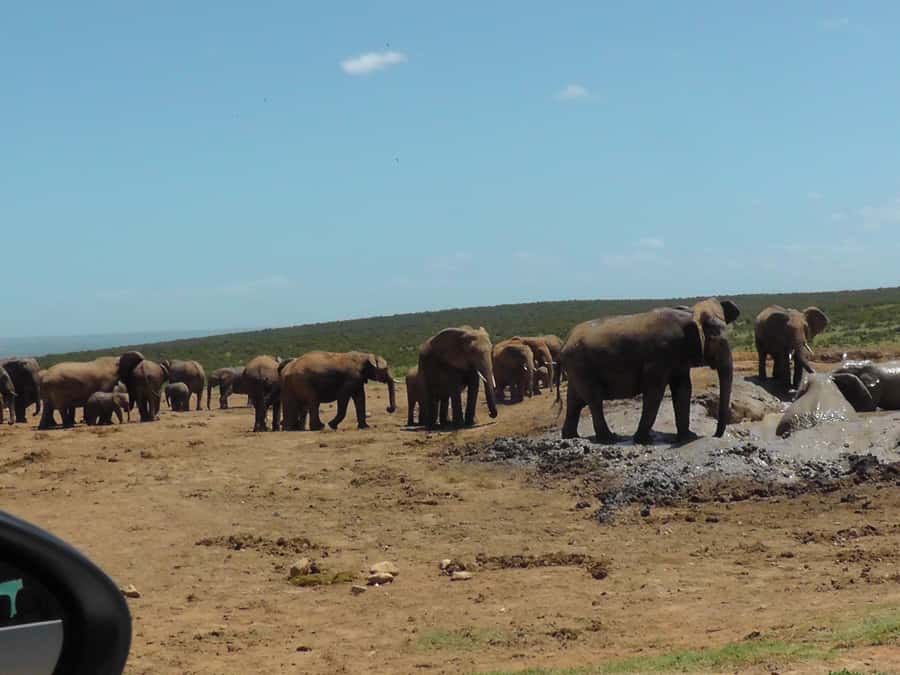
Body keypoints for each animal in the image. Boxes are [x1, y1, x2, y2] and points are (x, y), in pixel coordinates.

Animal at [559, 298, 740, 444]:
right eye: (719, 342)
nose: (715, 435)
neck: (690, 314)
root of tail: (566, 341)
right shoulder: (660, 355)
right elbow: (655, 391)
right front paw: (643, 441)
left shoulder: (679, 357)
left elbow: (683, 389)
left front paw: (688, 437)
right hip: (581, 365)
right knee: (594, 400)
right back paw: (610, 439)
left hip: (576, 367)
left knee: (575, 401)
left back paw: (571, 437)